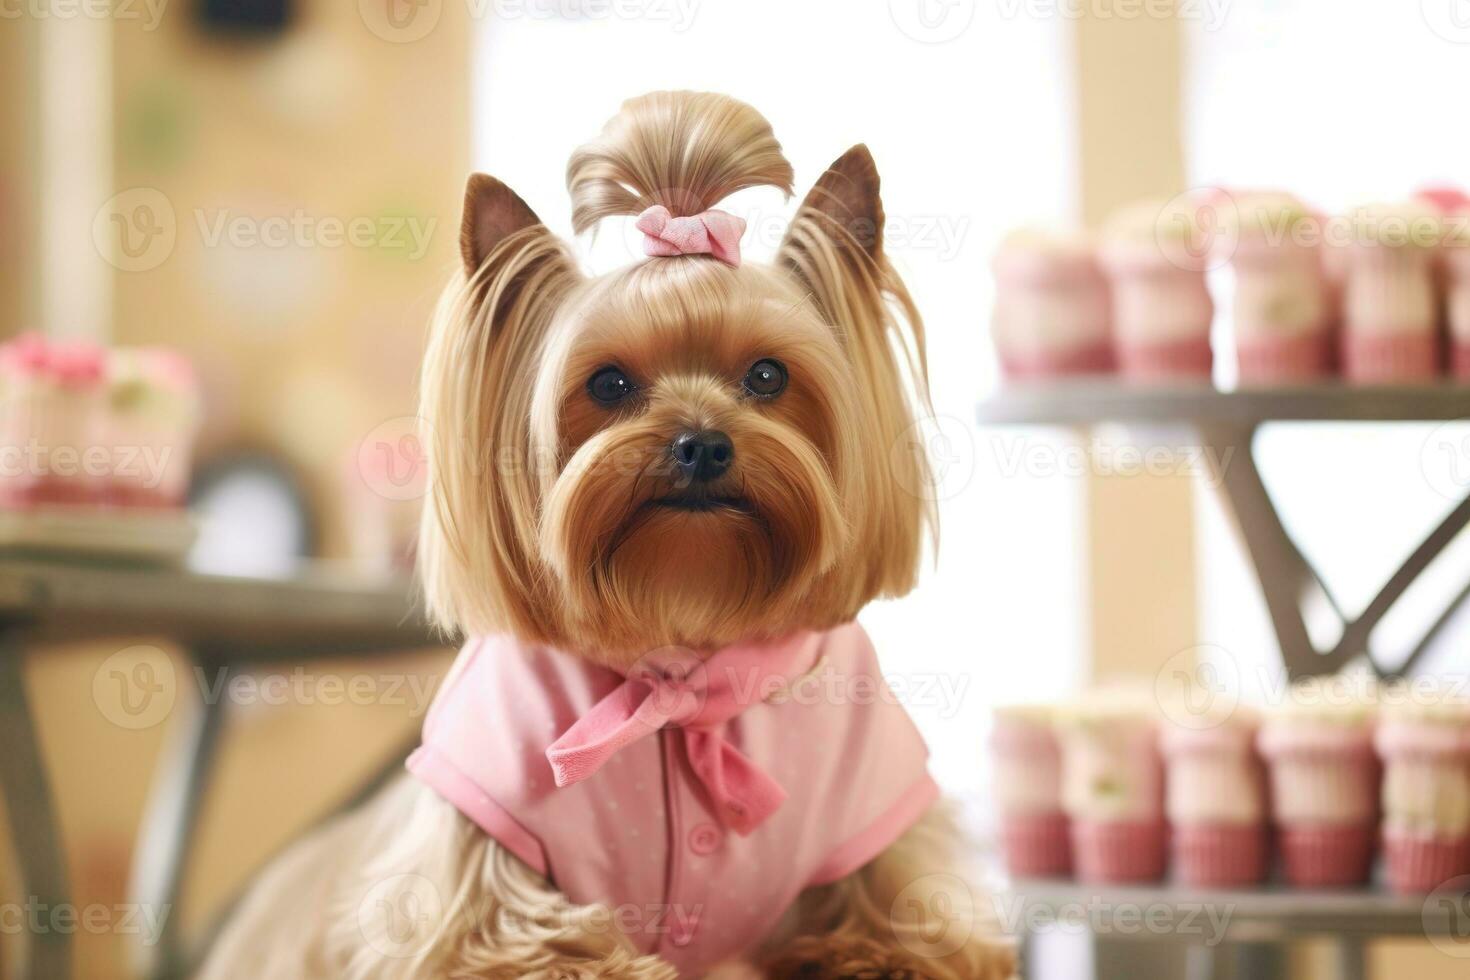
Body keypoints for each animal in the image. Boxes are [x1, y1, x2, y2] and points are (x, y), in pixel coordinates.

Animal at [201, 88, 1017, 975]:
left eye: (768, 376)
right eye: (609, 384)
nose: (702, 443)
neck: (685, 642)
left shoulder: (882, 845)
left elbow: (917, 941)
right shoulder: (475, 883)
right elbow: (541, 946)